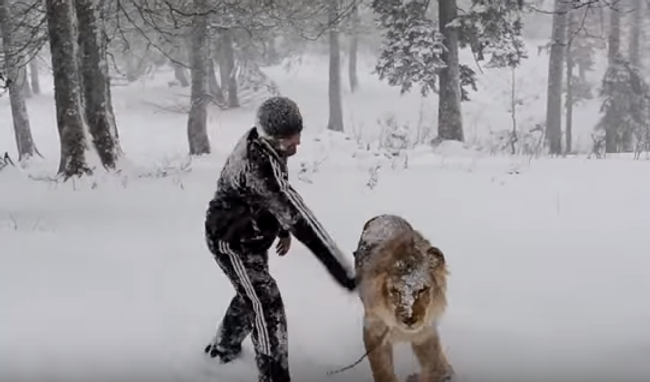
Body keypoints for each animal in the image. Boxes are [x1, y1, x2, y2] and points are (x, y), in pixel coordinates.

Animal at [352, 213, 454, 382]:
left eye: (422, 289)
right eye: (395, 291)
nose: (409, 319)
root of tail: (385, 214)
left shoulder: (424, 332)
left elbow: (436, 367)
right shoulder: (374, 329)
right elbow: (383, 371)